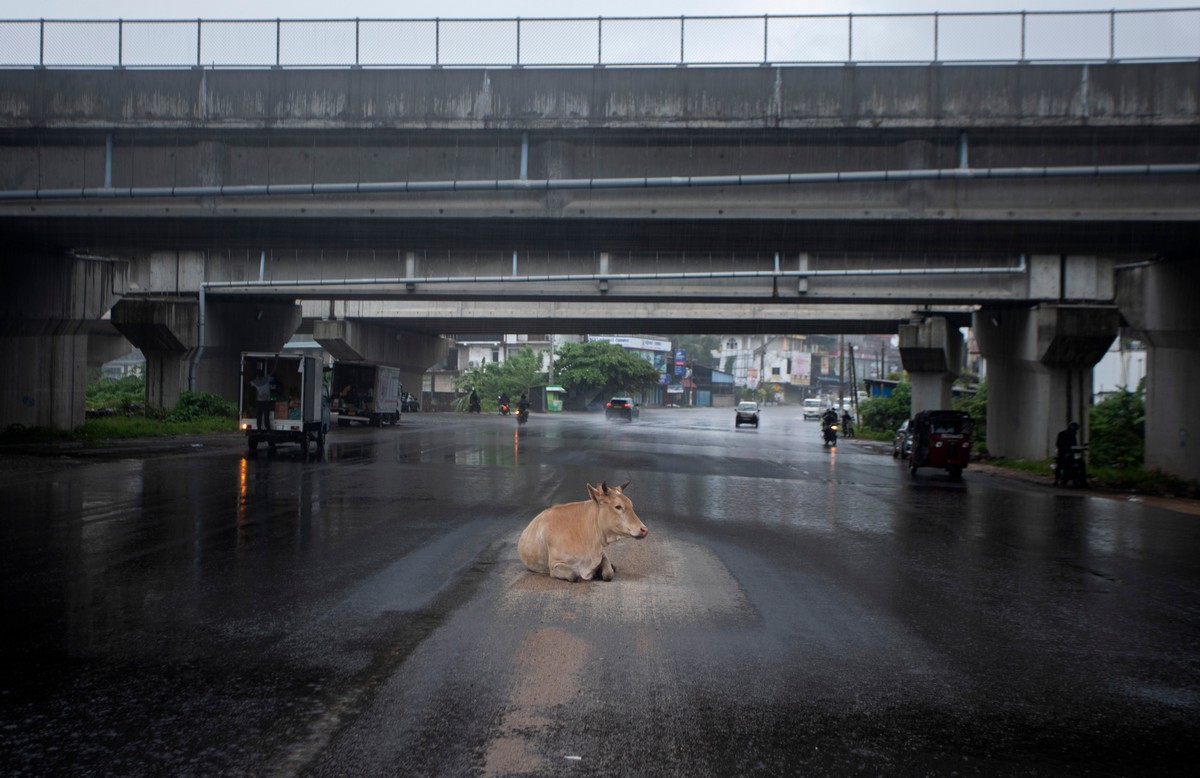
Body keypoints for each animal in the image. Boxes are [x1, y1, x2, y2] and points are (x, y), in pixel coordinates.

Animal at [516, 480, 648, 583]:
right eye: (618, 506)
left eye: (631, 504)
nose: (644, 529)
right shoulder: (554, 566)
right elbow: (573, 575)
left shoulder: (601, 553)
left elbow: (608, 573)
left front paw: (603, 571)